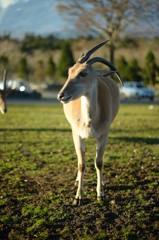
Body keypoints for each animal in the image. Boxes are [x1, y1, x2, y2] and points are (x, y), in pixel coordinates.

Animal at [57, 40, 123, 205]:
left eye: (84, 73)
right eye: (70, 72)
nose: (61, 95)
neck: (89, 119)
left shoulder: (104, 135)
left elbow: (98, 162)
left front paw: (101, 194)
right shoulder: (76, 135)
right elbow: (82, 163)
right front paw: (78, 197)